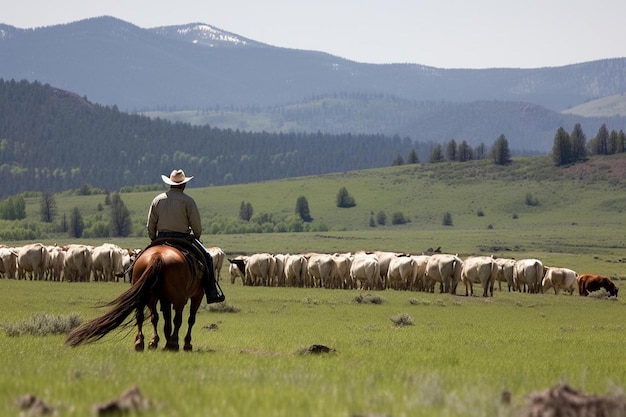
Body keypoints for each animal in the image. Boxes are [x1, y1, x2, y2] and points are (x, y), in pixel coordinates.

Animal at [65, 244, 204, 352]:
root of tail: (158, 255)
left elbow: (167, 318)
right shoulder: (196, 295)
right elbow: (189, 319)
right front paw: (185, 343)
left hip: (150, 294)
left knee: (145, 316)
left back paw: (144, 342)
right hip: (173, 297)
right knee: (175, 319)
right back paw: (171, 343)